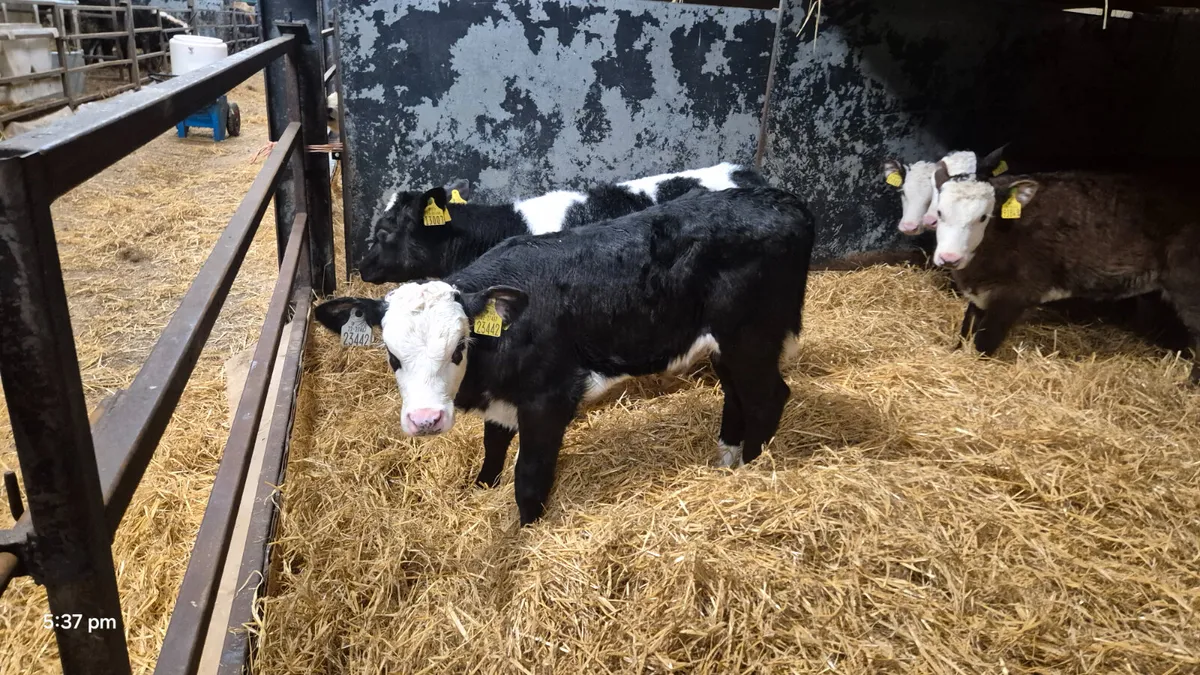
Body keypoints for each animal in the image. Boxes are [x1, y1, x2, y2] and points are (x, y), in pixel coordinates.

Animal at [316, 187, 816, 525]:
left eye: (459, 347)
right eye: (392, 355)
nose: (425, 420)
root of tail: (783, 198)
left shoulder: (549, 398)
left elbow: (529, 476)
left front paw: (528, 528)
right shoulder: (505, 396)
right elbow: (493, 450)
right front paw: (480, 488)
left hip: (753, 335)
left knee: (768, 397)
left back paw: (752, 468)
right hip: (724, 344)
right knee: (737, 394)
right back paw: (727, 457)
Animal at [929, 167, 1200, 381]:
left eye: (984, 217)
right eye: (940, 213)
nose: (949, 257)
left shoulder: (1014, 295)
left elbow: (983, 342)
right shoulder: (980, 294)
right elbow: (966, 330)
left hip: (1187, 285)